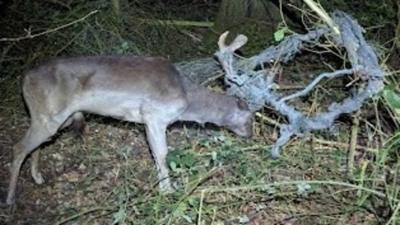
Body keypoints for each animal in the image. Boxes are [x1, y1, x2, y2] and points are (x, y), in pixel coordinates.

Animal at [4, 33, 252, 206]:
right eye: (250, 117)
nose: (250, 134)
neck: (187, 99)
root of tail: (24, 79)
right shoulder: (154, 116)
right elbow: (162, 155)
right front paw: (168, 191)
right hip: (49, 114)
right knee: (18, 147)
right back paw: (9, 199)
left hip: (56, 118)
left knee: (37, 144)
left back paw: (38, 177)